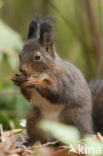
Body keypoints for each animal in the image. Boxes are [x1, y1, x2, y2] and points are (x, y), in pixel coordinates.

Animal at [11, 15, 93, 144]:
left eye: (38, 56)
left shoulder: (62, 80)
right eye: (20, 54)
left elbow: (55, 91)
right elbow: (28, 95)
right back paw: (33, 142)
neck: (40, 74)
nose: (22, 69)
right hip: (35, 120)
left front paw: (36, 82)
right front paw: (18, 80)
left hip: (72, 118)